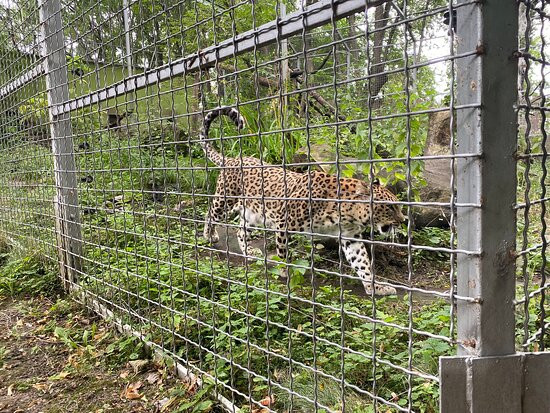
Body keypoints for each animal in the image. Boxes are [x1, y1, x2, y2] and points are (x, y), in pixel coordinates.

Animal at [201, 104, 408, 294]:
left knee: (240, 230)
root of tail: (232, 159)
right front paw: (285, 271)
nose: (403, 220)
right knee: (210, 214)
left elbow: (362, 263)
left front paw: (375, 287)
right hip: (225, 200)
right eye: (390, 207)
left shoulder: (351, 238)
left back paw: (249, 251)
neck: (347, 214)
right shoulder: (284, 223)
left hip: (254, 213)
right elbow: (283, 251)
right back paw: (209, 235)